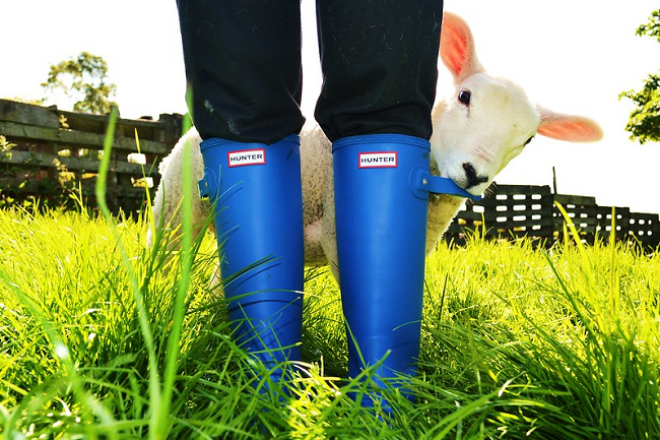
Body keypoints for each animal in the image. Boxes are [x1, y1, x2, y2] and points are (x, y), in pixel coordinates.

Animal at [150, 13, 604, 280]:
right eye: (465, 97)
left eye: (528, 139)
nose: (475, 174)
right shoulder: (336, 236)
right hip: (175, 211)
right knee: (169, 257)